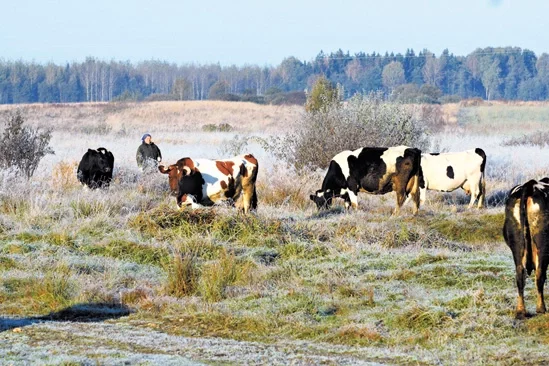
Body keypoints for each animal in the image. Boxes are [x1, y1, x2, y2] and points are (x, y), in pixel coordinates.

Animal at [504, 177, 548, 318]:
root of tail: (530, 185)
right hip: (542, 244)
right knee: (540, 274)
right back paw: (541, 308)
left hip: (517, 244)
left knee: (520, 273)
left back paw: (520, 310)